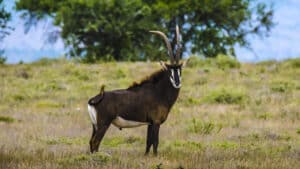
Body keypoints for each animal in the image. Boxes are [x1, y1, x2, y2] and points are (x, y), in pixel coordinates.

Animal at [87, 25, 183, 154]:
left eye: (179, 69)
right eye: (170, 70)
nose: (177, 83)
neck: (159, 91)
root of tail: (96, 98)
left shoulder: (150, 123)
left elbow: (148, 142)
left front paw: (146, 156)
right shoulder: (156, 122)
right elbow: (155, 142)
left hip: (95, 126)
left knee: (92, 142)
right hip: (103, 124)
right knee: (95, 142)